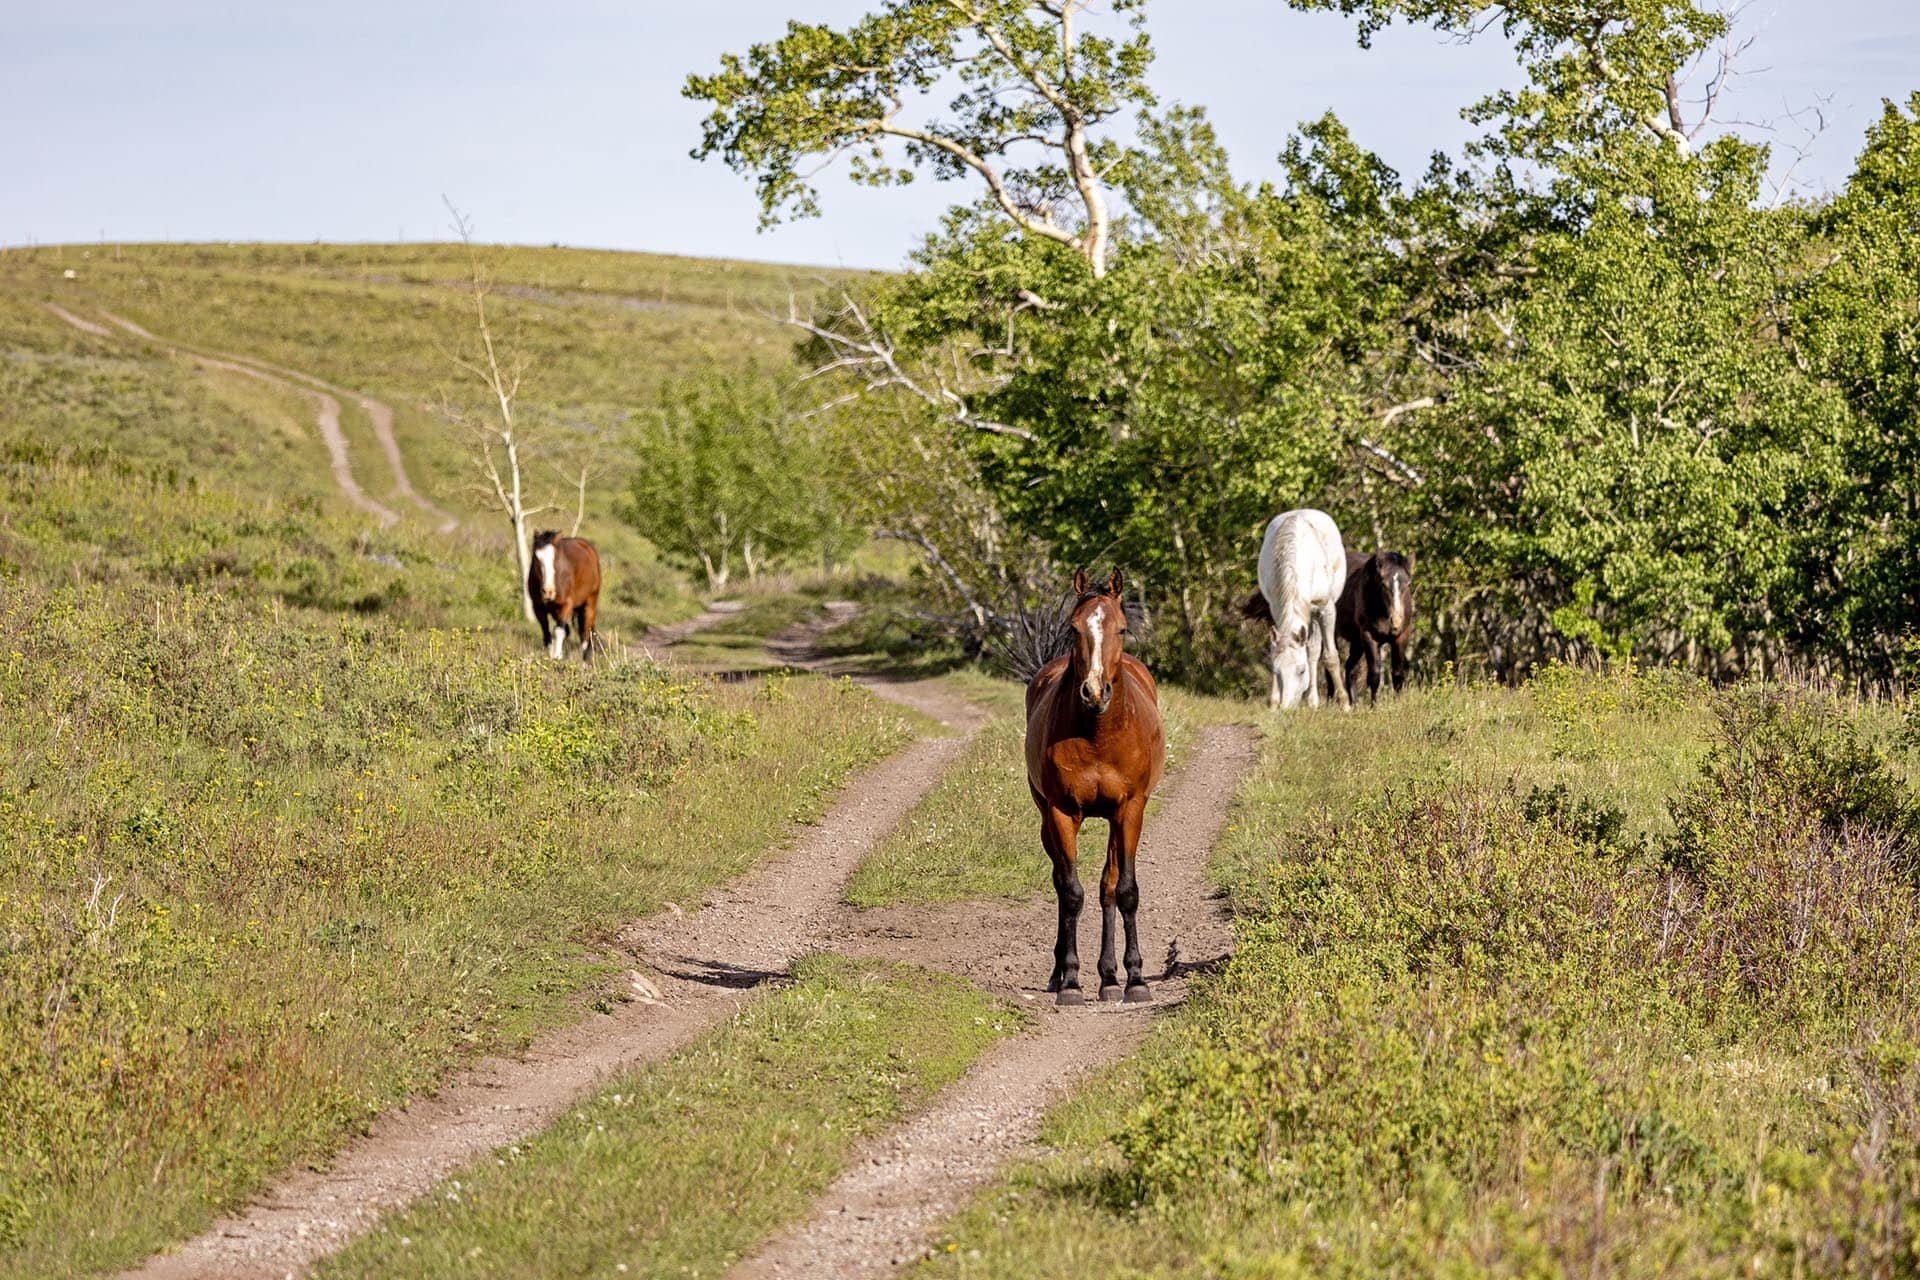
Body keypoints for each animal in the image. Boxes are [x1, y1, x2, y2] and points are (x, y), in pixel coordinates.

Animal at [527, 530, 601, 662]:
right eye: (537, 557)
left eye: (555, 558)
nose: (548, 591)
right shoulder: (538, 607)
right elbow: (546, 632)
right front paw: (552, 655)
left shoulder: (566, 605)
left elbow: (559, 631)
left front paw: (556, 656)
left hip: (589, 604)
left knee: (585, 633)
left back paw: (583, 660)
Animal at [1025, 568, 1166, 1006]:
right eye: (1074, 629)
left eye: (1121, 628)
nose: (1093, 691)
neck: (1098, 735)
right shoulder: (1060, 813)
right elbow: (1071, 892)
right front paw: (1070, 981)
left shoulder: (1130, 809)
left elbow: (1125, 890)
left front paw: (1135, 979)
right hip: (1046, 818)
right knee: (1062, 882)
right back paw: (1062, 975)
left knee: (1108, 886)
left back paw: (1109, 977)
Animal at [1239, 509, 1350, 710]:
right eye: (1276, 670)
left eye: (1301, 670)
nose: (1286, 707)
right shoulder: (1276, 611)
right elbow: (1275, 648)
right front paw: (1273, 703)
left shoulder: (1326, 609)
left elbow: (1330, 656)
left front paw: (1345, 704)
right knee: (1312, 649)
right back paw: (1312, 701)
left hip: (1316, 614)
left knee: (1314, 651)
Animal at [1335, 549, 1415, 704]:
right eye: (1383, 584)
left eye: (1408, 584)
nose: (1396, 621)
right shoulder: (1369, 636)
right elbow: (1374, 675)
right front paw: (1374, 705)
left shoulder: (1401, 637)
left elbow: (1398, 674)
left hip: (1357, 641)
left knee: (1350, 668)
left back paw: (1354, 703)